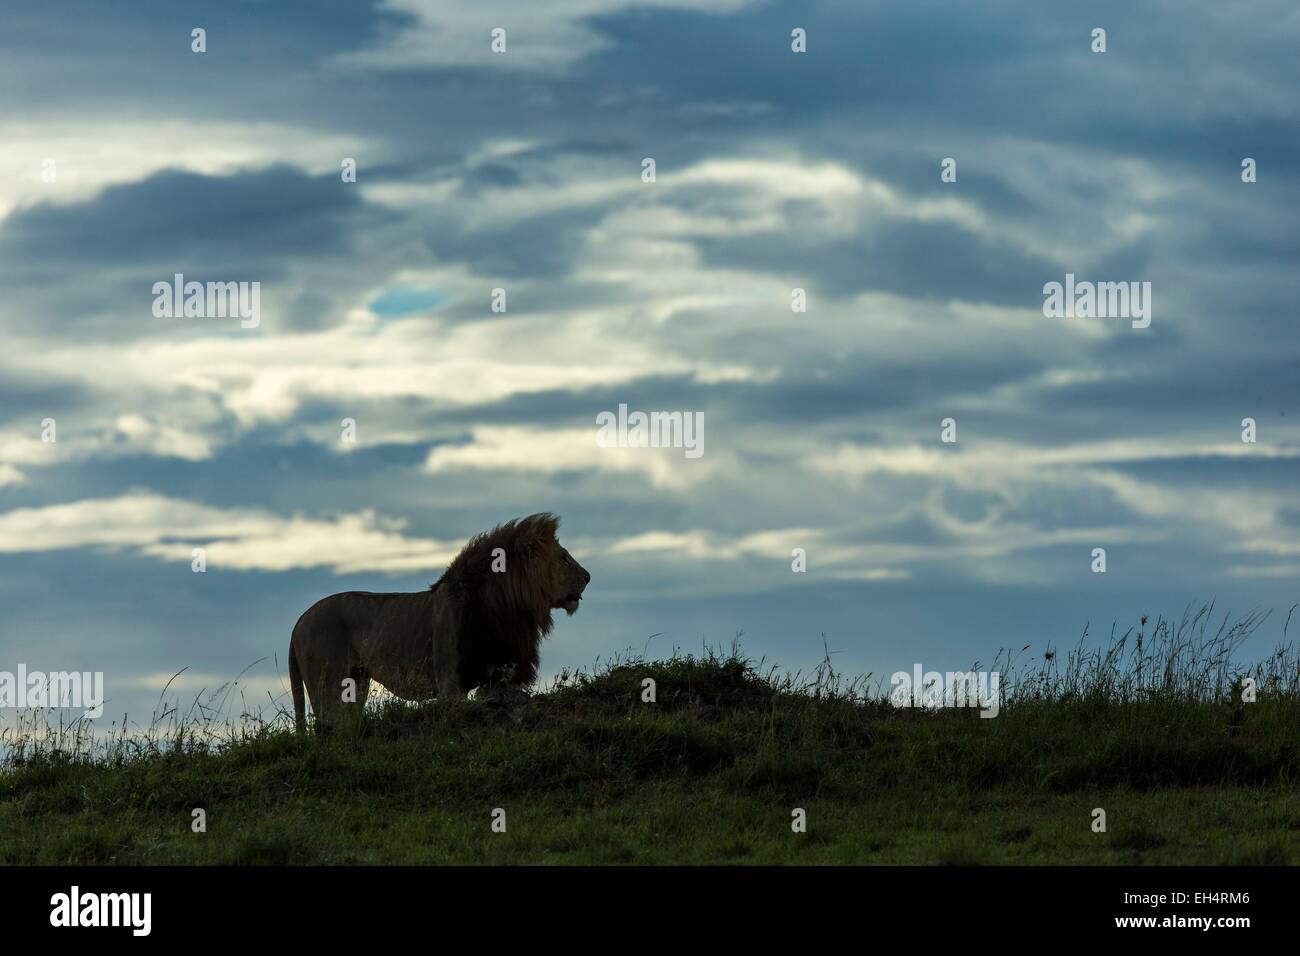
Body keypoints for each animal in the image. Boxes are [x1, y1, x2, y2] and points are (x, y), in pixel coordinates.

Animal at [288, 515, 590, 733]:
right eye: (564, 558)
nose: (588, 577)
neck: (513, 606)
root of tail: (299, 620)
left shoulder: (497, 680)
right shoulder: (450, 682)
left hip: (357, 683)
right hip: (329, 683)